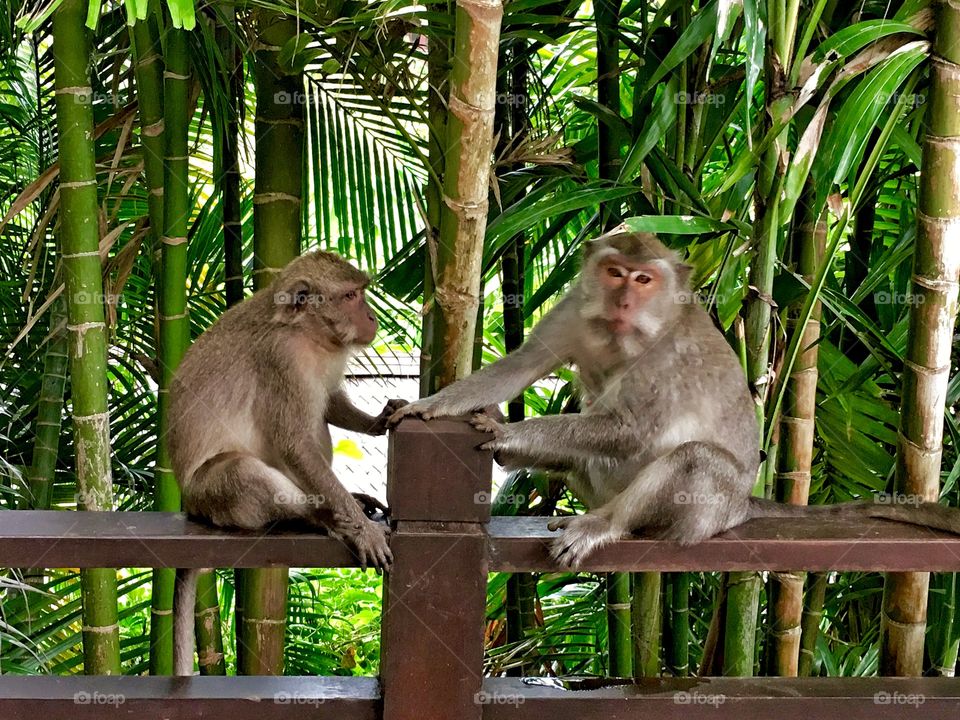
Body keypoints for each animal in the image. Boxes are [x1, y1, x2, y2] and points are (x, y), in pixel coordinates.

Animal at [168, 252, 404, 676]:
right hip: (207, 496)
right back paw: (322, 516)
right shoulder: (281, 361)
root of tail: (186, 502)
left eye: (360, 292)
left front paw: (379, 419)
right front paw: (360, 530)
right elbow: (295, 444)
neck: (308, 334)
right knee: (242, 471)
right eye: (350, 296)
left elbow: (330, 402)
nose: (372, 317)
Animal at [388, 229, 960, 568]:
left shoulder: (669, 356)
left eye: (644, 279)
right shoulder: (573, 310)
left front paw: (510, 431)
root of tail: (742, 507)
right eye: (615, 273)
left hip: (708, 512)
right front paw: (432, 407)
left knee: (693, 460)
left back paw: (605, 524)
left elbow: (632, 430)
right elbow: (521, 366)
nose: (622, 300)